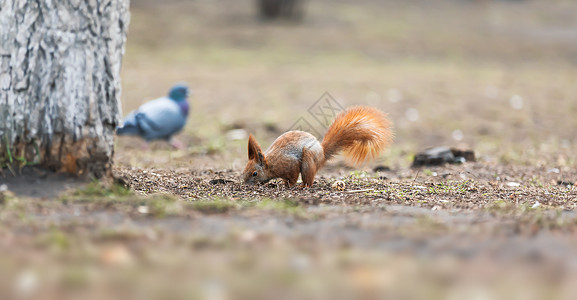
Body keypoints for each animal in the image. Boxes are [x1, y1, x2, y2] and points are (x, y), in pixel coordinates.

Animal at [241, 105, 394, 185]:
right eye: (244, 170)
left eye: (254, 173)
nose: (245, 183)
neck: (270, 164)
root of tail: (322, 153)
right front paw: (283, 183)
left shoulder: (289, 164)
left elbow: (293, 176)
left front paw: (289, 185)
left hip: (308, 161)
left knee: (308, 179)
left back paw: (303, 187)